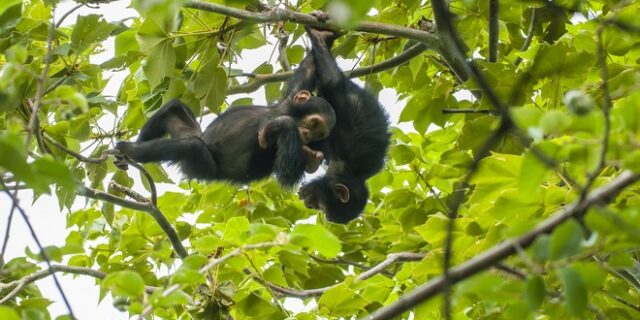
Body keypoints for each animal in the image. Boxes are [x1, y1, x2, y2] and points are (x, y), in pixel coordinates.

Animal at [115, 84, 336, 189]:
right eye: (314, 124)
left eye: (318, 134)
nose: (306, 135)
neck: (275, 112)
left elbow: (287, 174)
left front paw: (283, 124)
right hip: (193, 130)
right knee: (173, 107)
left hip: (201, 168)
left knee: (191, 146)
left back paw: (129, 150)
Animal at [298, 26, 392, 224]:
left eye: (321, 207)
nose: (309, 205)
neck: (348, 169)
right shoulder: (352, 147)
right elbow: (331, 82)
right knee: (332, 81)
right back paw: (321, 38)